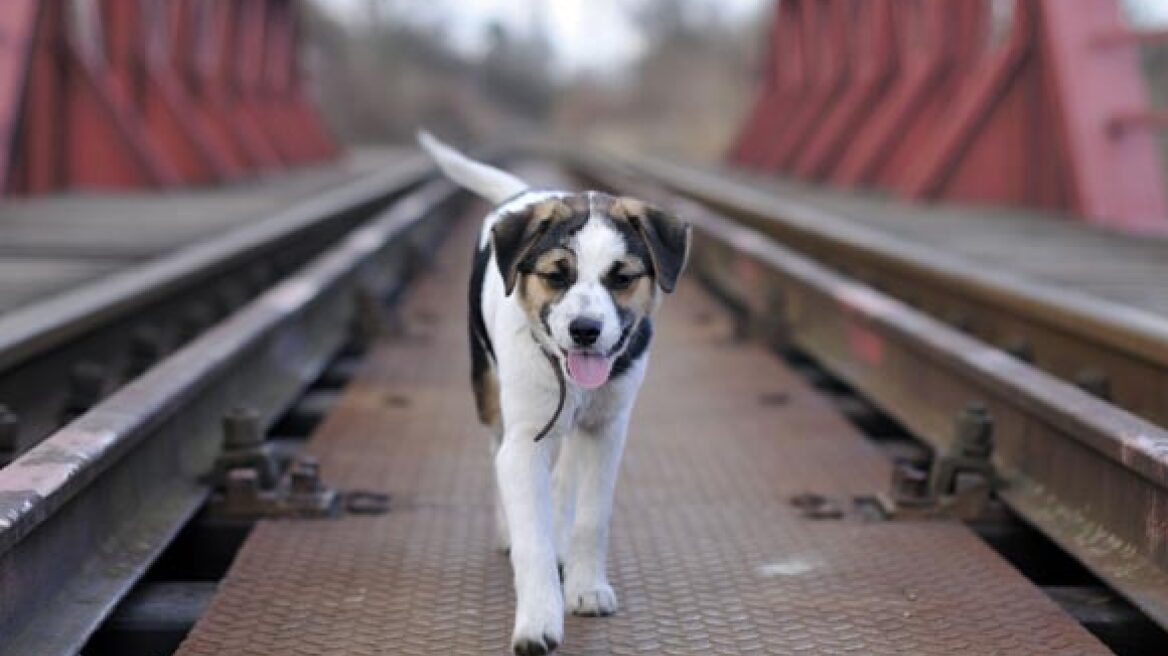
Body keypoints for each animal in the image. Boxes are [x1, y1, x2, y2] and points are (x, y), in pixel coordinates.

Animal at [420, 130, 686, 648]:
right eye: (556, 274)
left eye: (622, 278)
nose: (585, 330)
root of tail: (525, 194)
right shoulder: (525, 441)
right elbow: (532, 540)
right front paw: (538, 621)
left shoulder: (607, 429)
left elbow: (591, 517)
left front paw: (587, 587)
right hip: (488, 391)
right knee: (496, 455)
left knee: (565, 476)